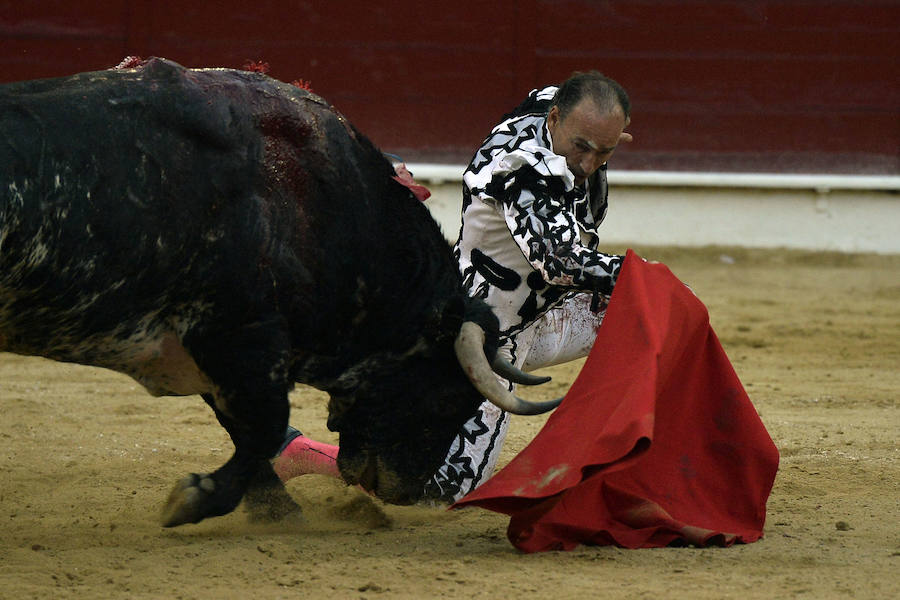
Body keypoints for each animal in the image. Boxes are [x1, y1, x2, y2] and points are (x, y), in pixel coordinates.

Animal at [0, 61, 560, 528]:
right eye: (448, 394)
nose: (409, 492)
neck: (322, 209)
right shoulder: (241, 334)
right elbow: (265, 427)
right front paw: (196, 499)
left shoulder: (219, 348)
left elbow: (245, 429)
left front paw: (273, 508)